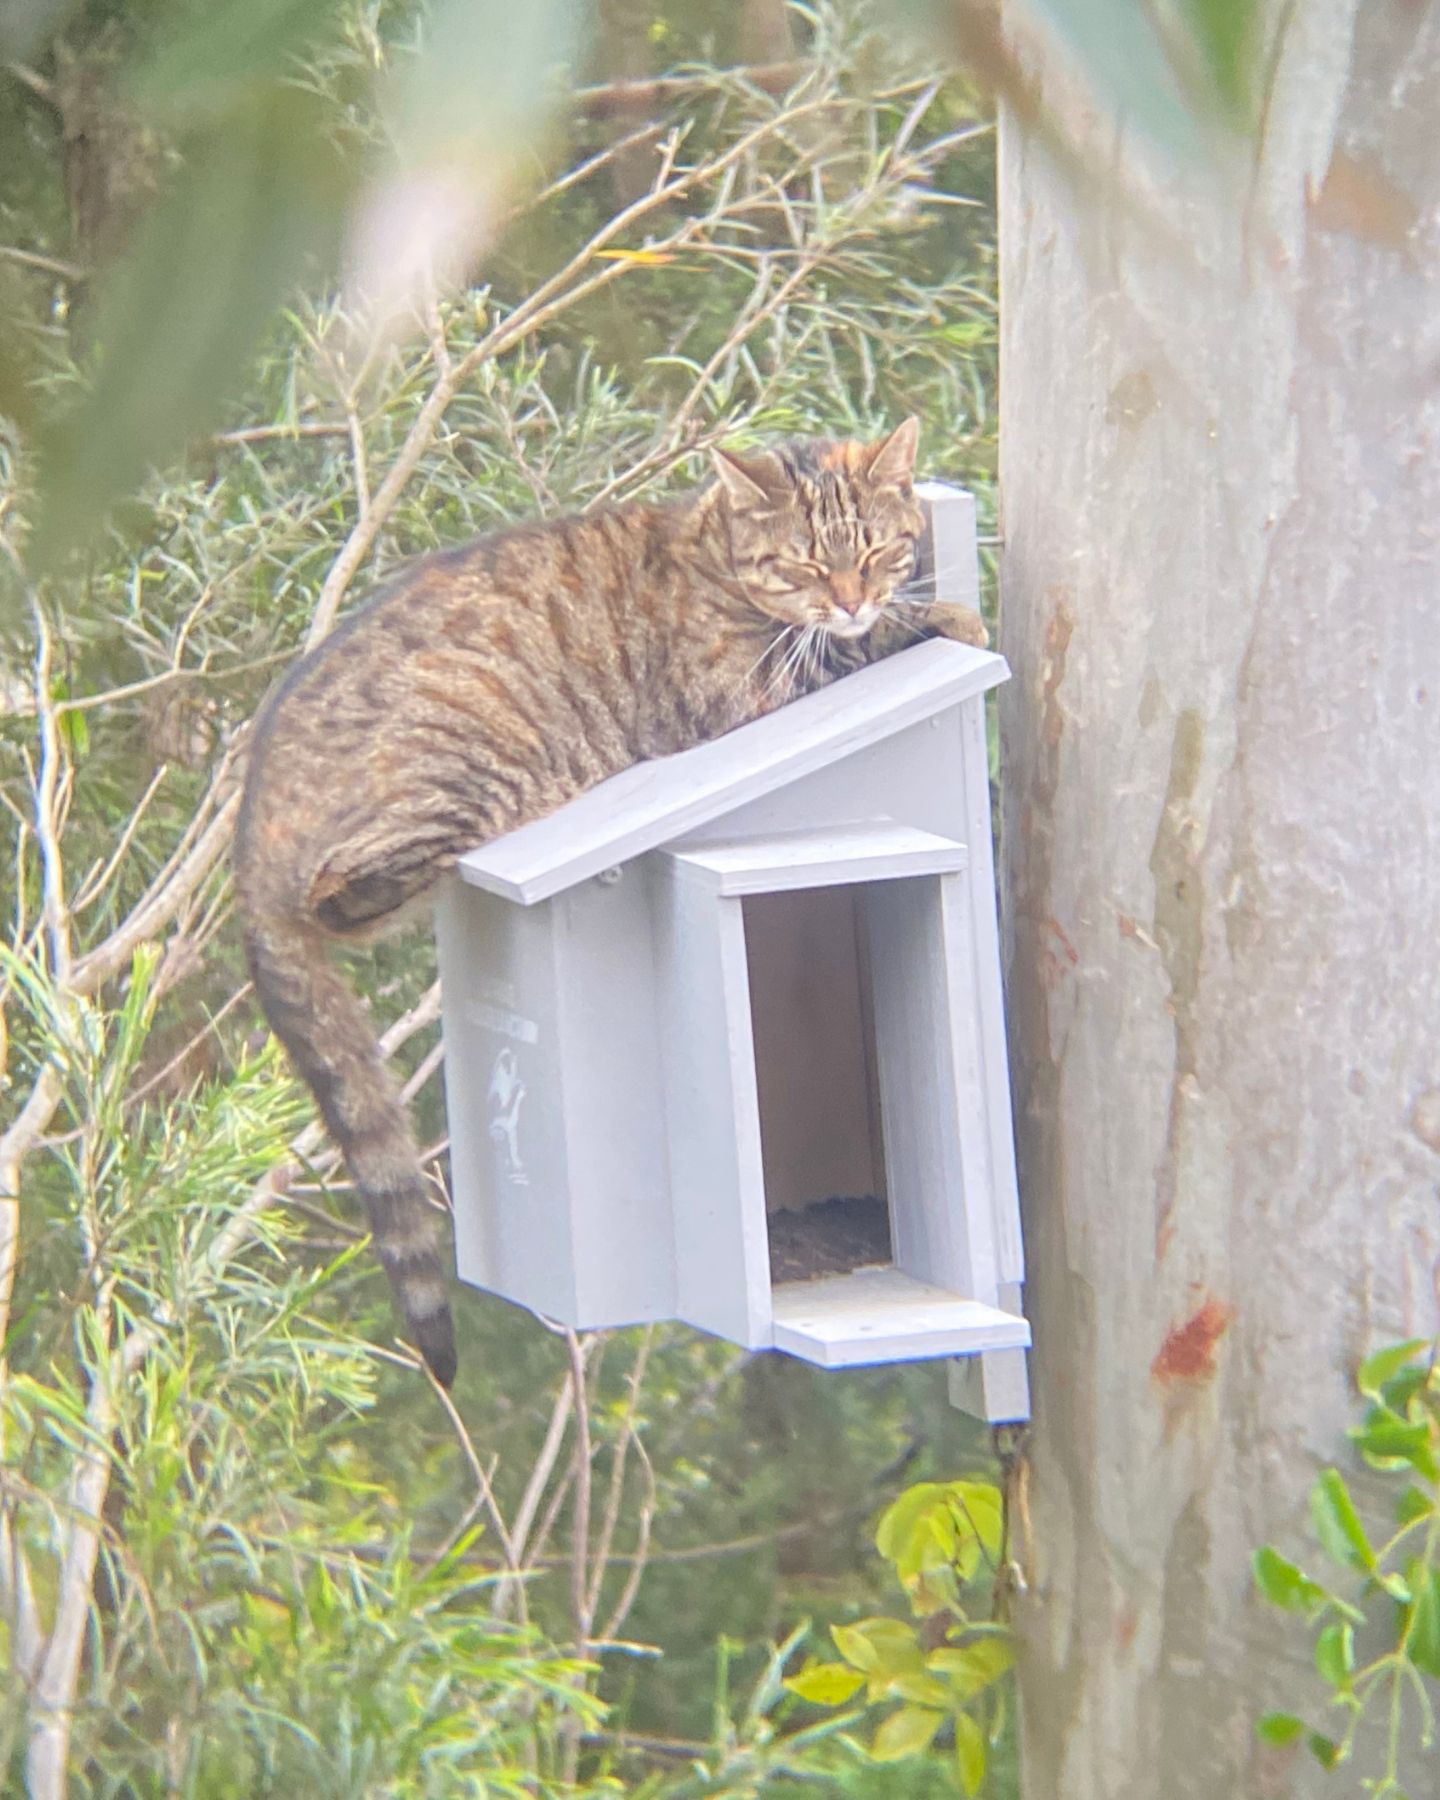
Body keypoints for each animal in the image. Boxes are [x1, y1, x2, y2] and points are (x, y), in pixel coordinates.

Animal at [235, 417, 986, 1375]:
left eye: (878, 549)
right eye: (807, 565)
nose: (852, 598)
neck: (710, 551)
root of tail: (247, 837)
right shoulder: (751, 691)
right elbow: (865, 652)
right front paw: (941, 617)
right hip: (453, 772)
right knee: (341, 890)